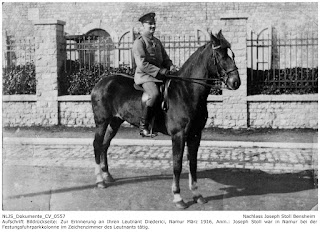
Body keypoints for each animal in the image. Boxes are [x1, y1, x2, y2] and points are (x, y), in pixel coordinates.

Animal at [90, 30, 240, 208]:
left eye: (231, 53)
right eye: (219, 55)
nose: (235, 82)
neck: (187, 91)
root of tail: (102, 82)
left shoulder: (195, 135)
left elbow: (193, 163)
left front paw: (197, 194)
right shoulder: (178, 136)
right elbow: (177, 165)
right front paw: (178, 197)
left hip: (115, 121)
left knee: (105, 145)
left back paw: (107, 176)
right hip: (102, 122)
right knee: (97, 144)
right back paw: (100, 180)